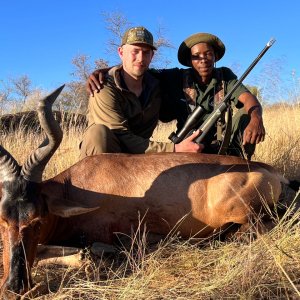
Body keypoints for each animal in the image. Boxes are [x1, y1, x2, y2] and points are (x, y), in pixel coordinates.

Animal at [0, 85, 298, 298]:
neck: (78, 185)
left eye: (37, 221)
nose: (15, 287)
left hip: (246, 216)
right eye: (3, 221)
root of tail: (271, 171)